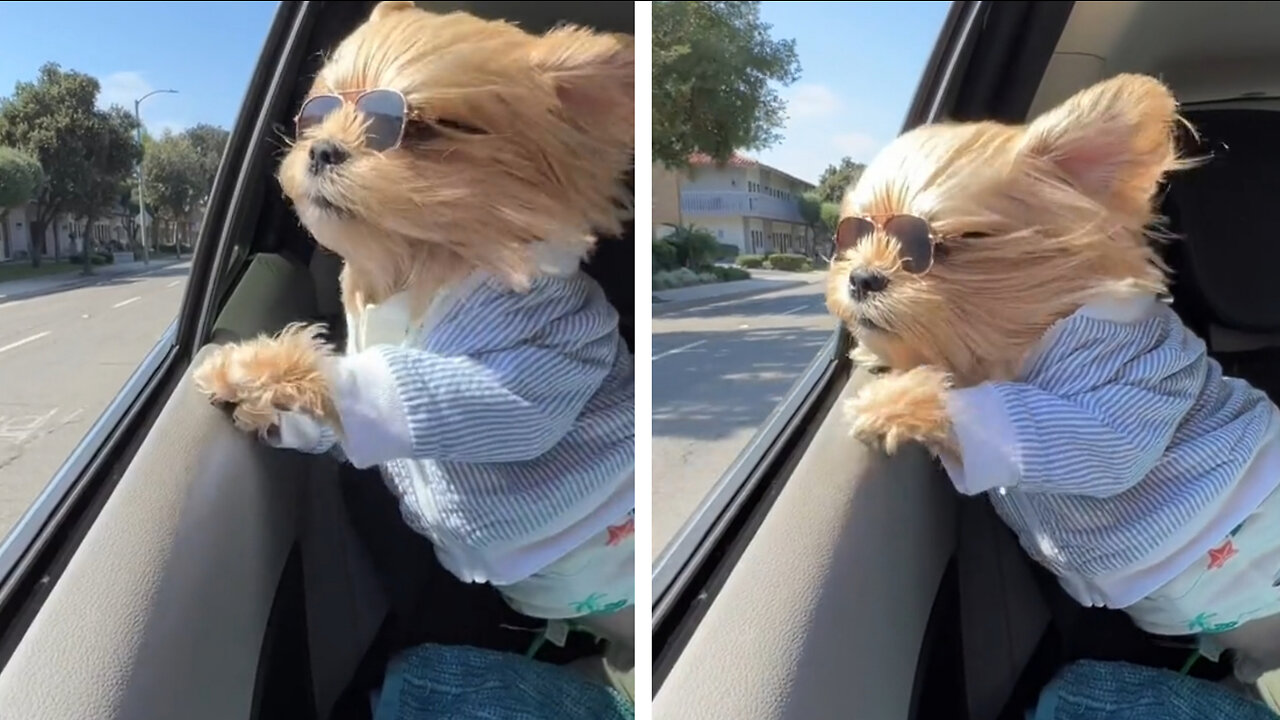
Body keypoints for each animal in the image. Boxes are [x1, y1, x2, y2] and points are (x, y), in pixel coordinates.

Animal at [193, 0, 634, 691]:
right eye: (316, 113)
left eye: (417, 128)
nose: (320, 148)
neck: (415, 272)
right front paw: (272, 412)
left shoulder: (524, 373)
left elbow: (417, 390)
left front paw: (249, 370)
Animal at [829, 74, 1280, 681]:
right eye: (850, 235)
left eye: (938, 246)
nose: (860, 277)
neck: (1027, 338)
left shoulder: (1118, 405)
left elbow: (1053, 430)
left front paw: (892, 405)